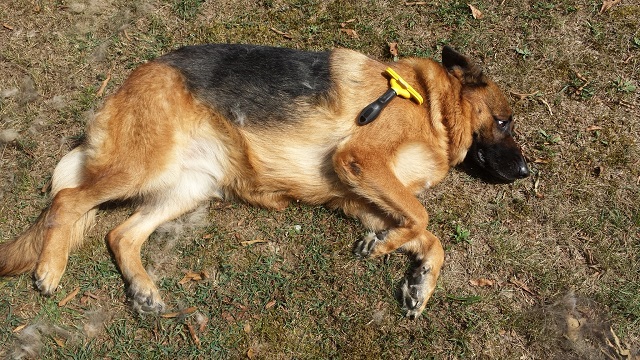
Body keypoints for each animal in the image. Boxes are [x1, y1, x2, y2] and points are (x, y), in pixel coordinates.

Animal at [0, 44, 528, 318]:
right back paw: (50, 269)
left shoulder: (357, 196)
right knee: (68, 200)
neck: (428, 105)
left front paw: (416, 277)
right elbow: (422, 215)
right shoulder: (359, 159)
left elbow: (428, 234)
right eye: (504, 122)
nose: (527, 172)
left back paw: (143, 288)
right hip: (139, 168)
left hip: (189, 186)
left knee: (120, 233)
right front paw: (386, 247)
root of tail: (128, 82)